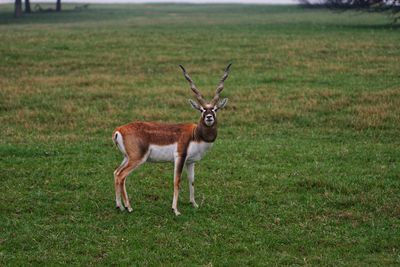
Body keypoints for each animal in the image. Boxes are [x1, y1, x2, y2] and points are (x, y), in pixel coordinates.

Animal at [112, 63, 231, 217]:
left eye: (215, 109)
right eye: (202, 110)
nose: (209, 117)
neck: (195, 135)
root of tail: (118, 130)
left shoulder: (191, 161)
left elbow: (192, 181)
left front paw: (194, 204)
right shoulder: (180, 156)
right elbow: (177, 181)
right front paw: (175, 210)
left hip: (127, 158)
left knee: (116, 173)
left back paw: (119, 206)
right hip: (137, 158)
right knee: (122, 176)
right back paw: (129, 207)